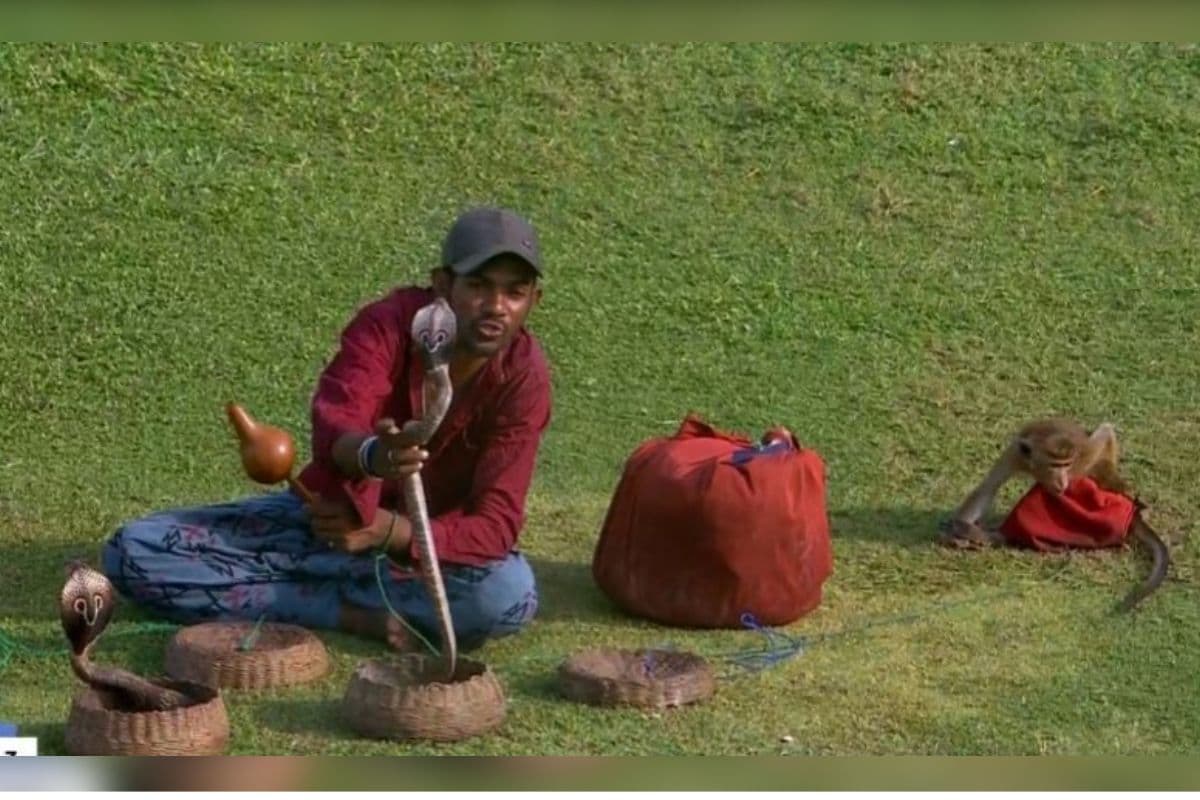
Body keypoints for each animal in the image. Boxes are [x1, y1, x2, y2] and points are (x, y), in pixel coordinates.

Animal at [940, 417, 1168, 612]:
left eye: (1065, 465)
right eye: (1054, 465)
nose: (1062, 481)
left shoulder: (1079, 457)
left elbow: (1103, 437)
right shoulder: (1015, 453)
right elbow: (988, 488)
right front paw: (959, 528)